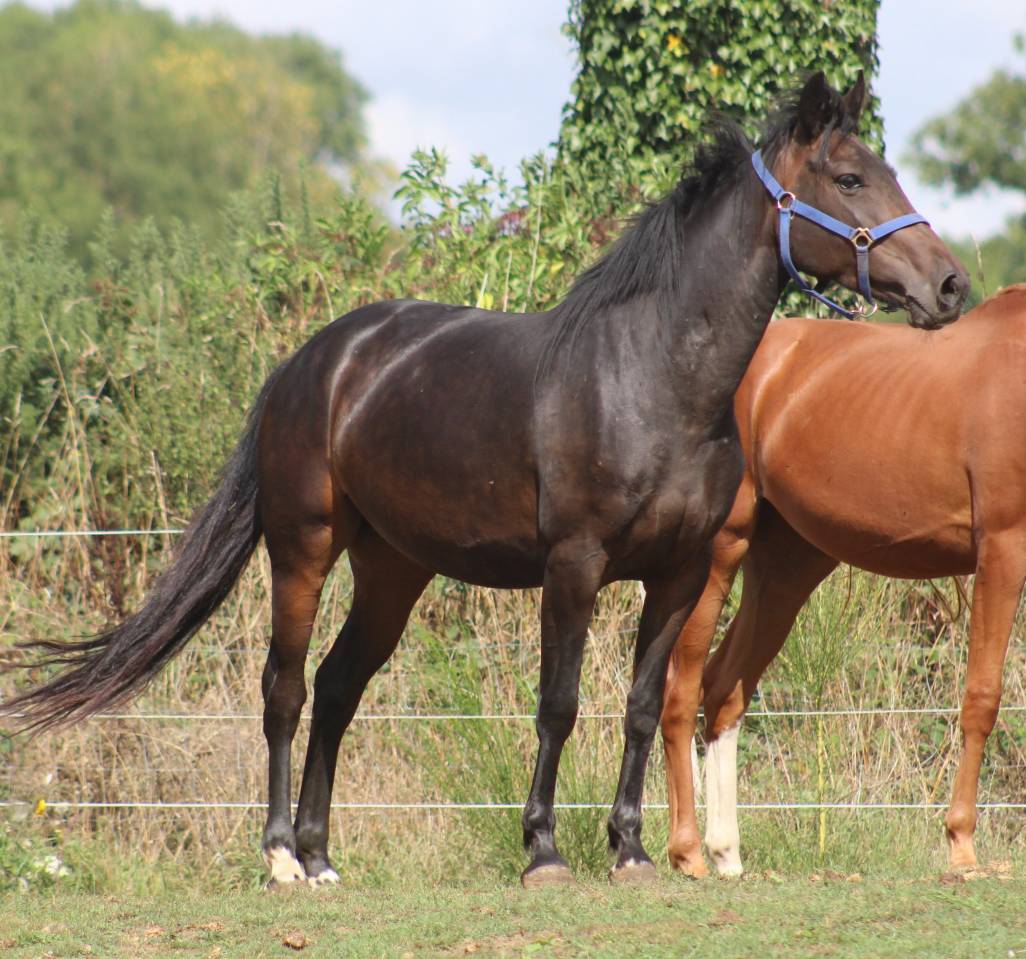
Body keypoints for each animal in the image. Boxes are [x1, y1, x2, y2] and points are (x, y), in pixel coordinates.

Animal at [3, 72, 966, 889]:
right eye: (849, 178)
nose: (950, 285)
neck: (652, 376)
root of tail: (309, 364)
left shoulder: (678, 574)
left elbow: (641, 705)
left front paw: (631, 849)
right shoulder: (573, 567)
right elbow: (560, 704)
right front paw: (544, 851)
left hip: (392, 568)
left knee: (338, 688)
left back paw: (321, 855)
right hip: (303, 550)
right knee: (284, 689)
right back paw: (279, 856)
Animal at [661, 287, 1026, 879]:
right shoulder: (1003, 549)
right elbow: (982, 697)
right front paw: (961, 844)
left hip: (787, 569)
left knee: (723, 690)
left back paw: (725, 851)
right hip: (721, 552)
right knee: (681, 689)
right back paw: (687, 850)